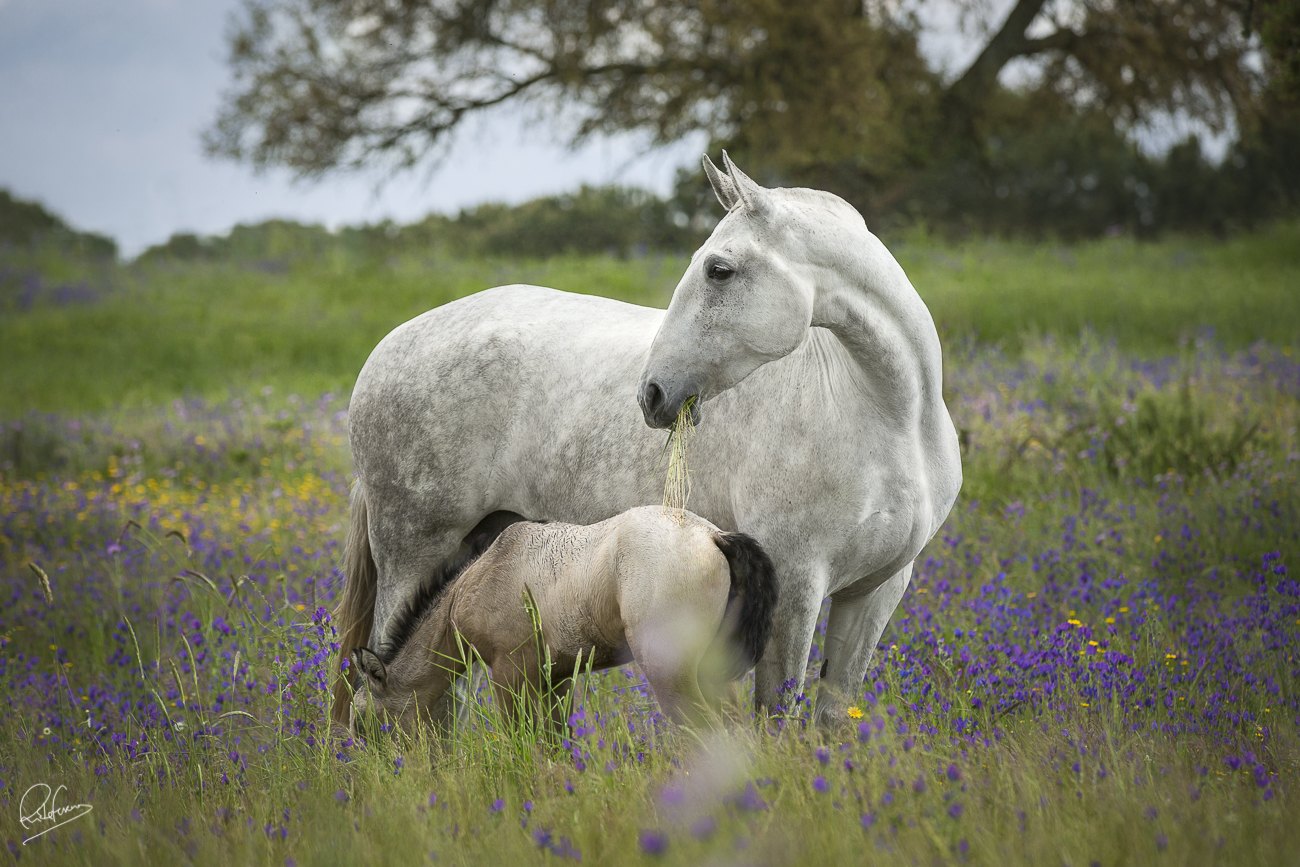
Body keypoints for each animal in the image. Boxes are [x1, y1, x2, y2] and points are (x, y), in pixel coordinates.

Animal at [349, 506, 778, 733]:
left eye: (363, 721)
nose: (373, 771)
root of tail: (713, 536)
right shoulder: (556, 680)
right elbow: (555, 740)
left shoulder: (508, 675)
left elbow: (519, 738)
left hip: (672, 675)